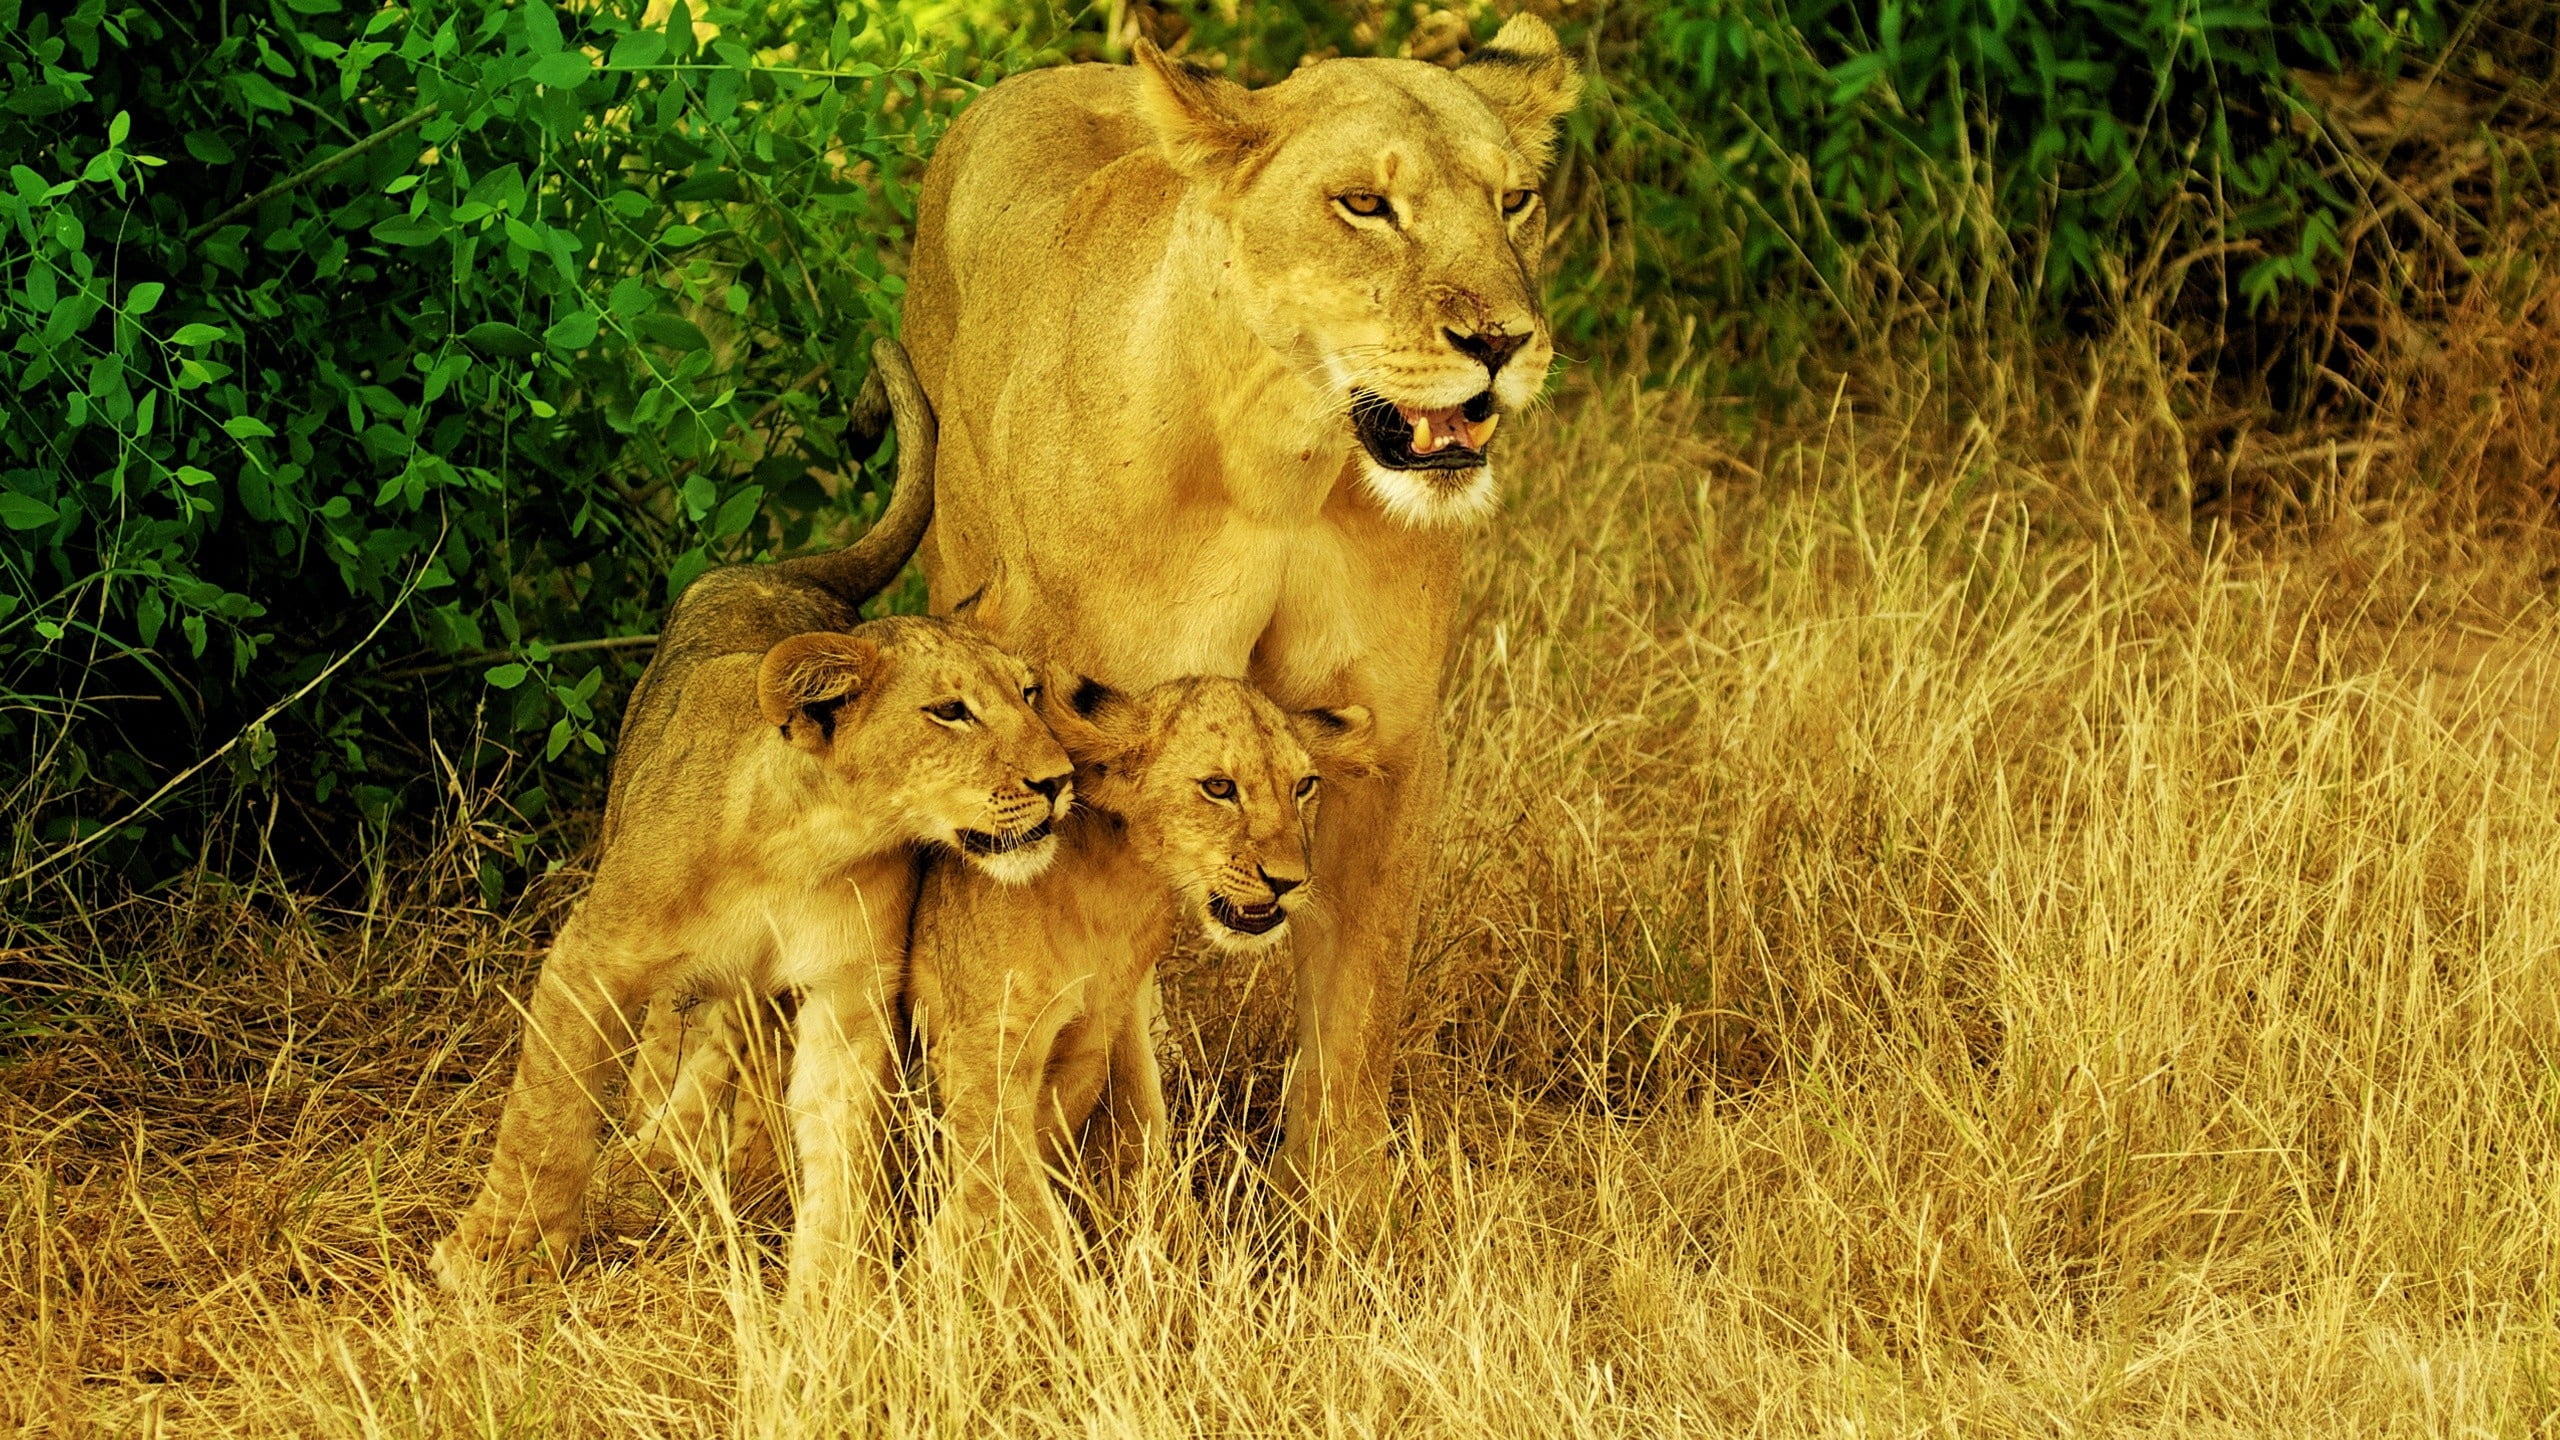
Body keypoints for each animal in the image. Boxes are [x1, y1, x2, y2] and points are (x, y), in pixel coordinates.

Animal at [430, 339, 1074, 1306]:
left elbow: (841, 1143)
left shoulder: (849, 991)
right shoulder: (590, 957)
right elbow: (548, 1109)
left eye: (1029, 694)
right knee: (673, 1045)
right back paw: (656, 1150)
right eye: (950, 713)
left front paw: (830, 1294)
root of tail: (780, 570)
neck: (804, 847)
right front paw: (497, 1252)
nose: (1060, 780)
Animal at [906, 676, 1377, 1260]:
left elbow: (1137, 1127)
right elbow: (1023, 1204)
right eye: (1219, 787)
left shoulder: (1111, 1024)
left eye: (1304, 786)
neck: (1118, 890)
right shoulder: (981, 1053)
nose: (1289, 881)